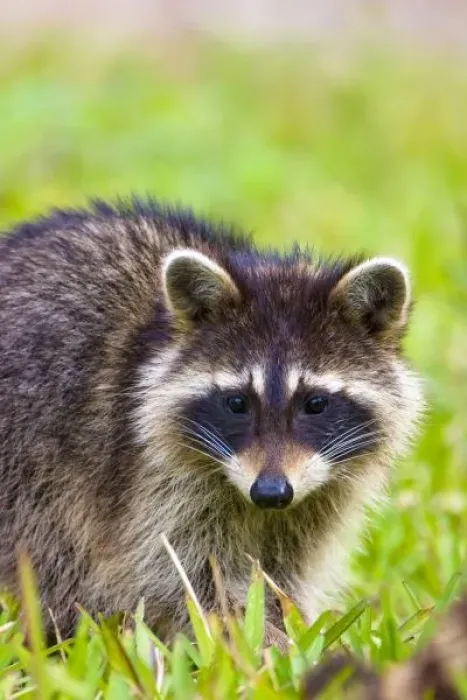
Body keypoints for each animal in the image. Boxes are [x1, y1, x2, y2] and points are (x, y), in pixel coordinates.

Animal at [0, 199, 422, 643]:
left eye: (316, 403)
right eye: (237, 402)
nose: (271, 492)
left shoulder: (319, 497)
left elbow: (283, 574)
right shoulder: (147, 475)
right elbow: (185, 572)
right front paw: (264, 643)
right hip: (30, 472)